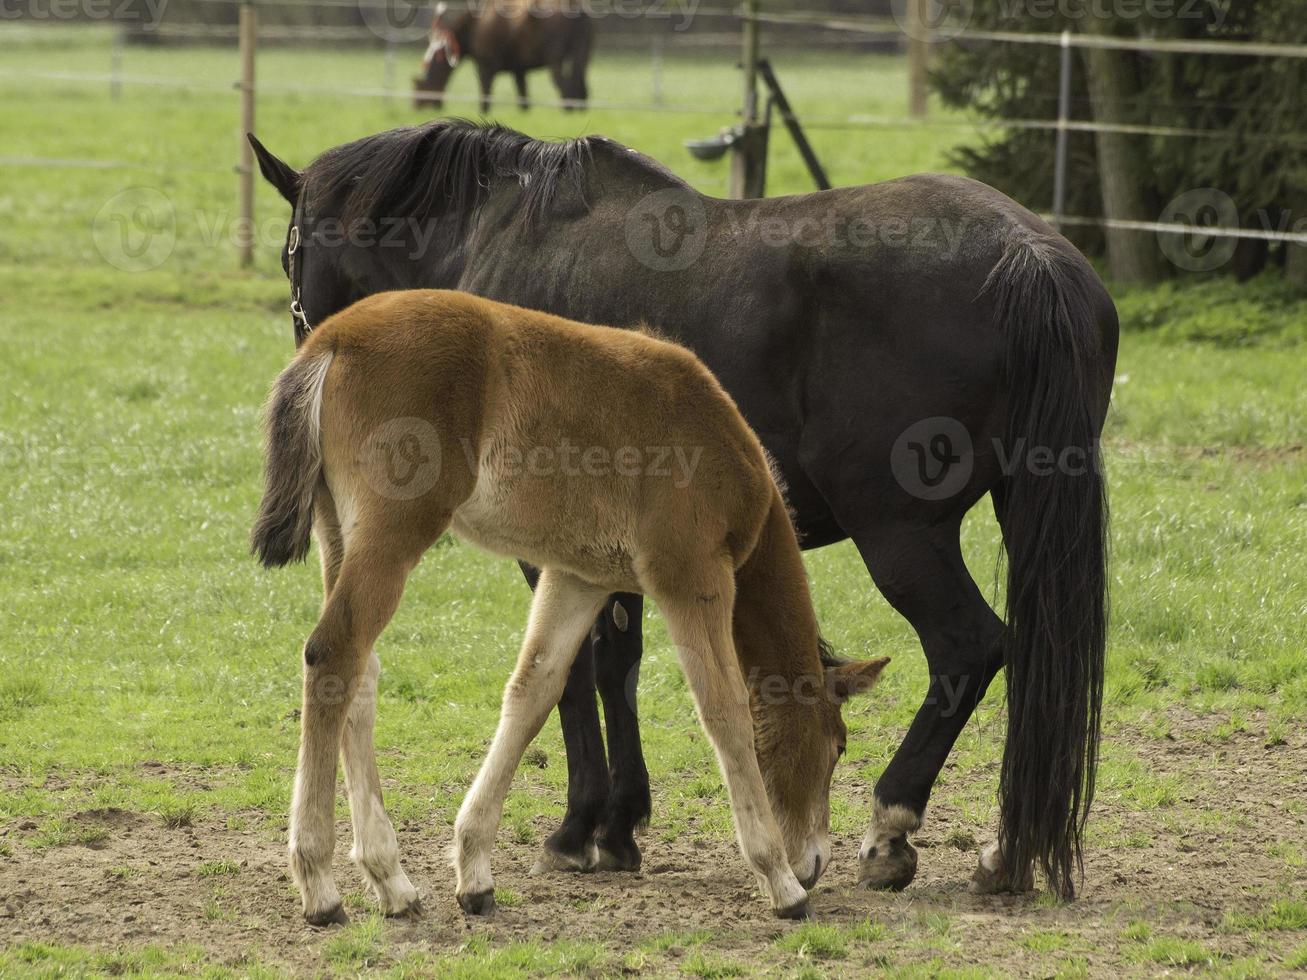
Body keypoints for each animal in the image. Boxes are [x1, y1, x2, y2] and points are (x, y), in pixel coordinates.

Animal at [252, 287, 888, 925]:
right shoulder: (692, 575)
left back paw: (392, 882)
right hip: (395, 529)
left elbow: (533, 691)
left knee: (360, 668)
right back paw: (319, 884)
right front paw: (779, 881)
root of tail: (330, 341)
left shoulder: (577, 578)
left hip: (340, 533)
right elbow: (724, 710)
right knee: (333, 653)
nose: (814, 862)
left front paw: (475, 871)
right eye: (839, 745)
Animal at [413, 1, 593, 113]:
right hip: (582, 54)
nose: (417, 107)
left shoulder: (485, 65)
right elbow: (523, 100)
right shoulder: (519, 70)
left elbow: (485, 97)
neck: (474, 26)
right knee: (580, 85)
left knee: (565, 85)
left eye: (420, 87)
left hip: (555, 59)